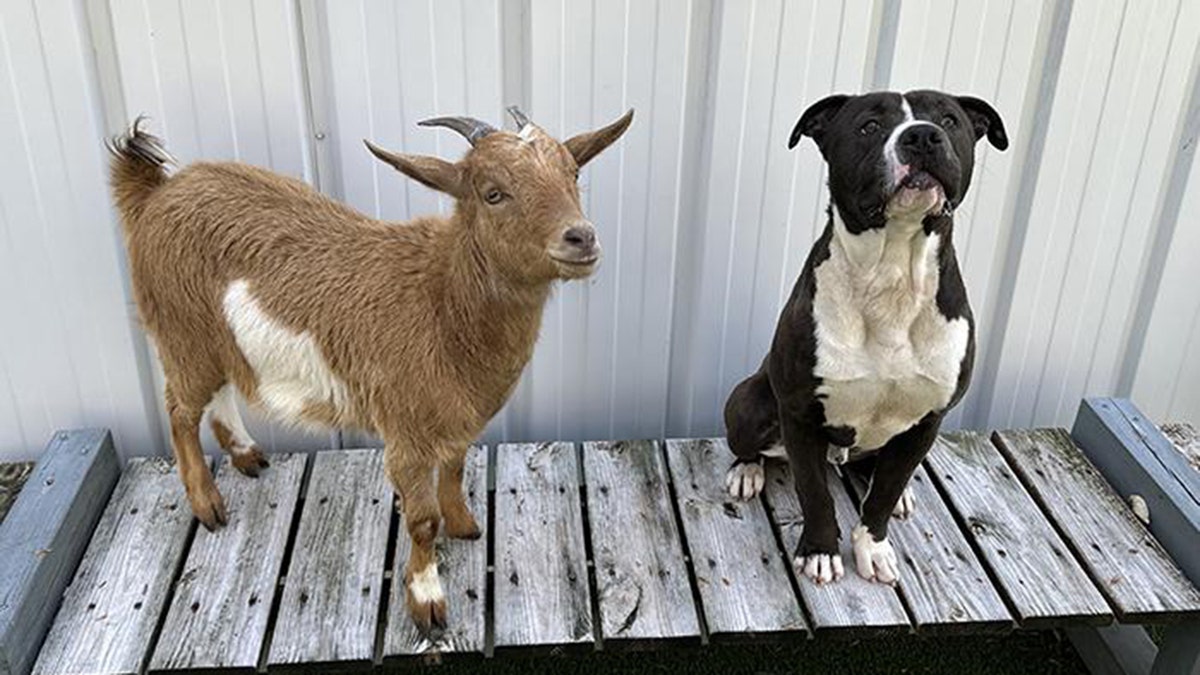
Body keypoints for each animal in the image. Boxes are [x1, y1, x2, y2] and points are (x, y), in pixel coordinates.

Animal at [106, 107, 633, 634]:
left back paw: (246, 454)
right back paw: (208, 504)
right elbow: (421, 520)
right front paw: (427, 600)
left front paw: (464, 524)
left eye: (573, 173)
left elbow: (455, 468)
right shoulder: (404, 432)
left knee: (219, 392)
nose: (581, 237)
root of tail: (156, 193)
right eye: (493, 193)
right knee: (180, 409)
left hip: (217, 341)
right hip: (181, 331)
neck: (440, 302)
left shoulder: (455, 421)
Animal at [724, 89, 1008, 583]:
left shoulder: (927, 422)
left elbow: (883, 494)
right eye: (869, 126)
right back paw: (747, 471)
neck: (892, 273)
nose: (922, 137)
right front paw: (821, 551)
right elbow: (814, 492)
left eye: (948, 120)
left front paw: (872, 546)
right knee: (751, 445)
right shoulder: (800, 414)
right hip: (748, 400)